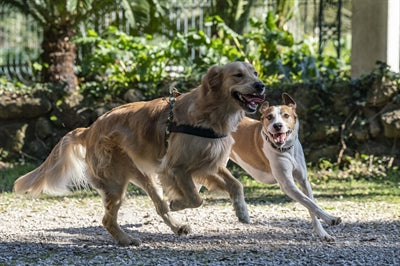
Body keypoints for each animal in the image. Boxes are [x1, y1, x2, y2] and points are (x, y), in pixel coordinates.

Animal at [231, 93, 340, 241]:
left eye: (286, 115)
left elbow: (310, 205)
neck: (287, 150)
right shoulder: (287, 184)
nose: (277, 125)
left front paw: (323, 233)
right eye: (269, 117)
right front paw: (330, 218)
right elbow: (310, 203)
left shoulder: (303, 181)